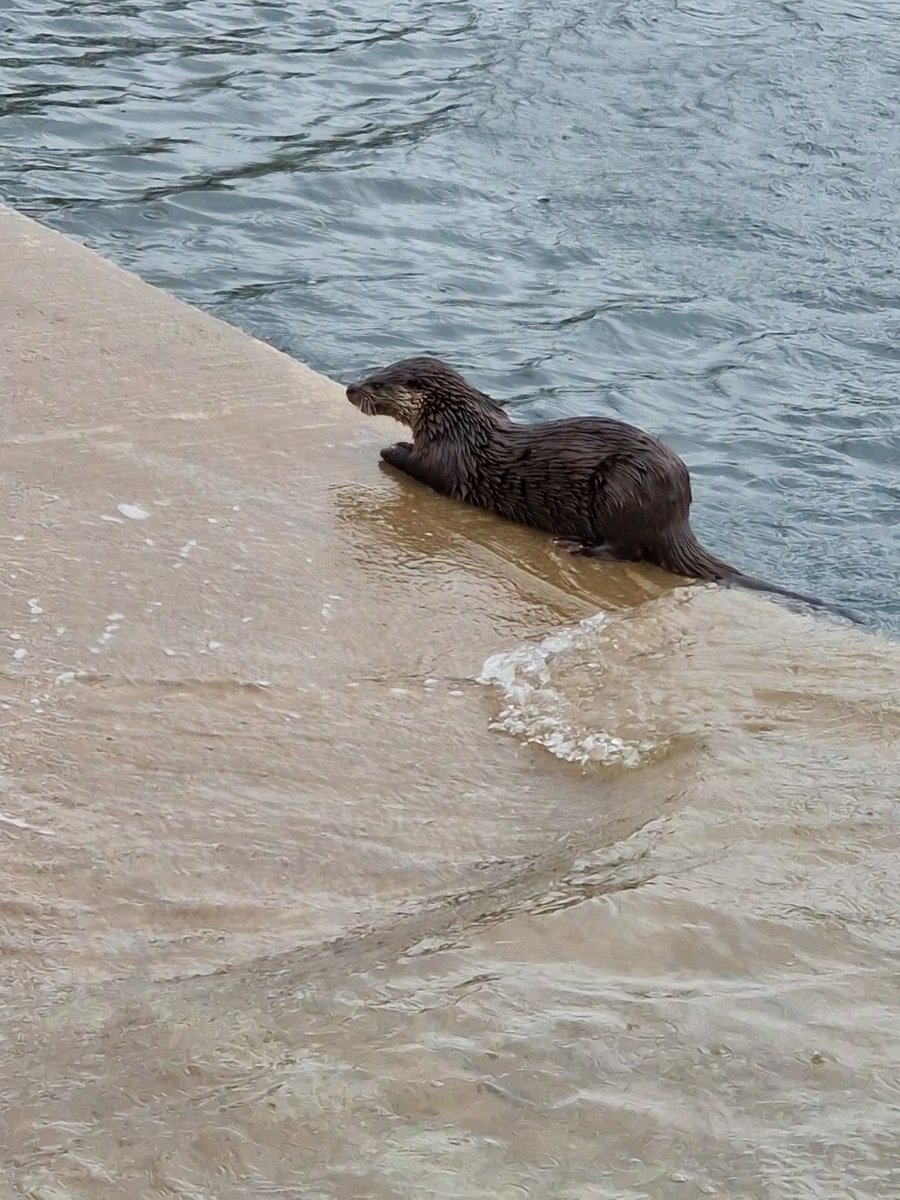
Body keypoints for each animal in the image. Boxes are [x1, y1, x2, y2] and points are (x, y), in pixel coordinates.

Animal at [345, 355, 861, 622]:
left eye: (377, 382)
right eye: (371, 369)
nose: (350, 388)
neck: (455, 422)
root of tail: (678, 515)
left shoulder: (449, 459)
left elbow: (424, 468)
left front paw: (392, 447)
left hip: (622, 488)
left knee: (629, 549)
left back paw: (578, 546)